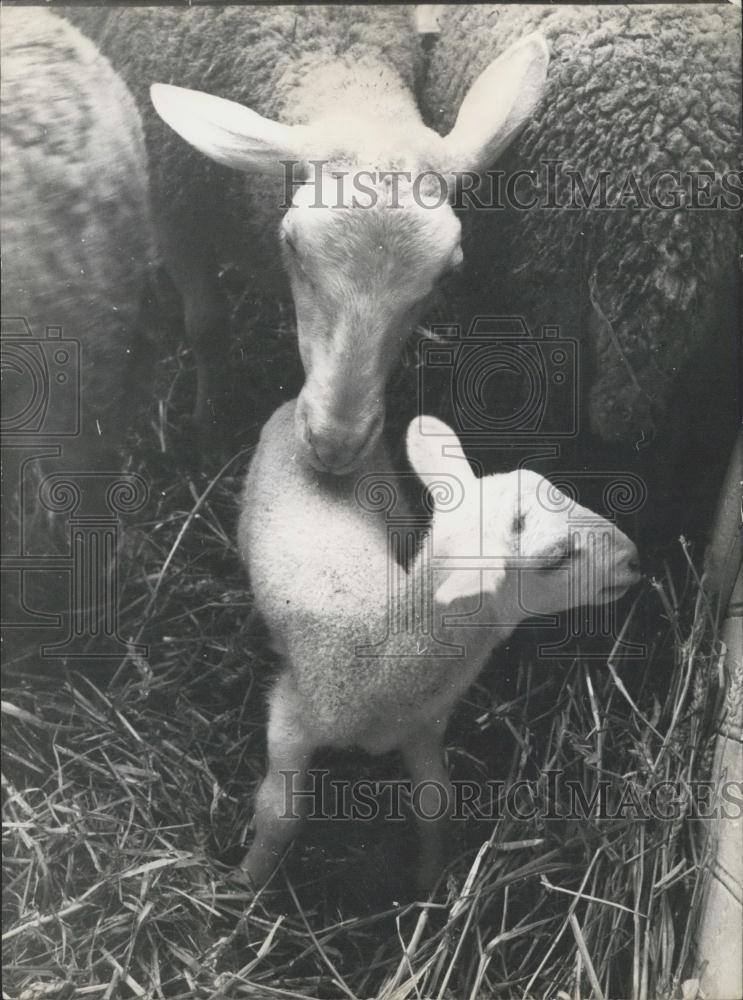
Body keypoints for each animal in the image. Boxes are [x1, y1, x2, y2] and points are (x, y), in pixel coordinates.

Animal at [62, 6, 549, 471]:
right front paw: (209, 431)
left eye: (449, 274)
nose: (335, 446)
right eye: (293, 246)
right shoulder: (175, 213)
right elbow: (207, 326)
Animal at [237, 400, 640, 892]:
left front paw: (428, 879)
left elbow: (437, 805)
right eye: (555, 558)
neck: (379, 647)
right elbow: (279, 814)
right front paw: (247, 879)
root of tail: (296, 403)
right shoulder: (291, 715)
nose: (633, 558)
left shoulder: (422, 726)